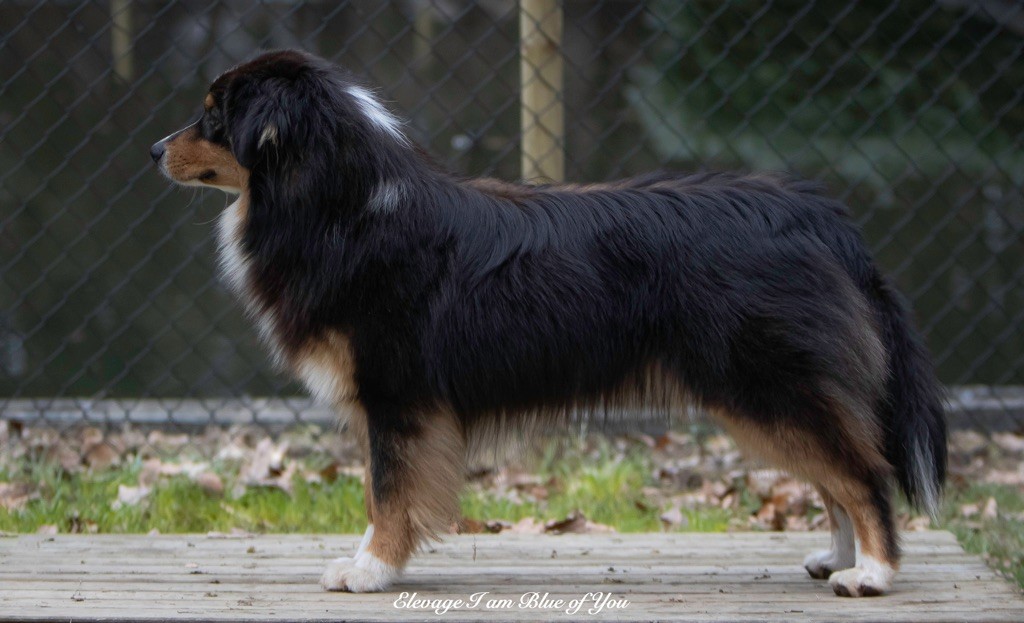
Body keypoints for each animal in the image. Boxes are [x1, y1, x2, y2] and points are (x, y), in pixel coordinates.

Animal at [149, 49, 942, 598]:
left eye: (214, 116)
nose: (154, 149)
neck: (337, 201)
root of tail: (816, 214)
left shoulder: (398, 395)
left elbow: (389, 489)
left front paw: (370, 569)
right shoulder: (400, 403)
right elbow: (387, 489)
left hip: (766, 380)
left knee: (863, 471)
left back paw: (871, 574)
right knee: (836, 473)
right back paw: (836, 557)